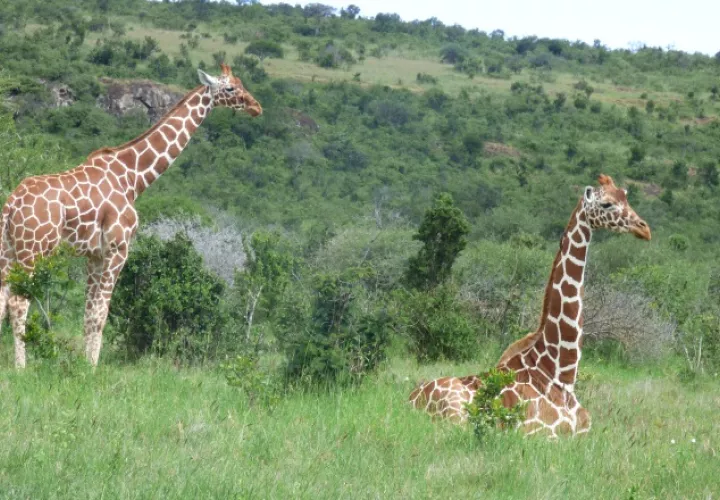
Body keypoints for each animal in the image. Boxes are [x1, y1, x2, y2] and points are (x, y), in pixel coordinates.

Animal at [0, 63, 261, 368]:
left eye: (241, 84)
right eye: (230, 88)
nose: (256, 106)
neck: (133, 178)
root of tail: (11, 204)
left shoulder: (94, 255)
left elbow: (88, 314)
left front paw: (84, 363)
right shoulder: (118, 248)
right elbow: (101, 314)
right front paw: (92, 368)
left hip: (9, 250)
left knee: (4, 299)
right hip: (34, 251)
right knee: (19, 303)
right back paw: (21, 367)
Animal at [409, 174, 651, 437]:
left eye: (626, 197)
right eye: (606, 204)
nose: (644, 228)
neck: (560, 375)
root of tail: (412, 398)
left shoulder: (585, 434)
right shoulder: (539, 434)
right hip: (455, 415)